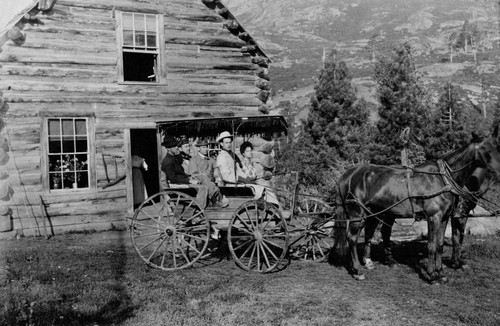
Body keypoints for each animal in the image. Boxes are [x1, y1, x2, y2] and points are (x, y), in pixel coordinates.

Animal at [332, 128, 500, 282]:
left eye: (497, 146)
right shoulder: (434, 217)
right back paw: (357, 270)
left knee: (368, 232)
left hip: (373, 212)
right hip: (357, 213)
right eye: (486, 150)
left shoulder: (445, 217)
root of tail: (350, 174)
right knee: (352, 237)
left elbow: (440, 244)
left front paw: (441, 273)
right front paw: (431, 275)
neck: (444, 178)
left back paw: (367, 262)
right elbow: (432, 245)